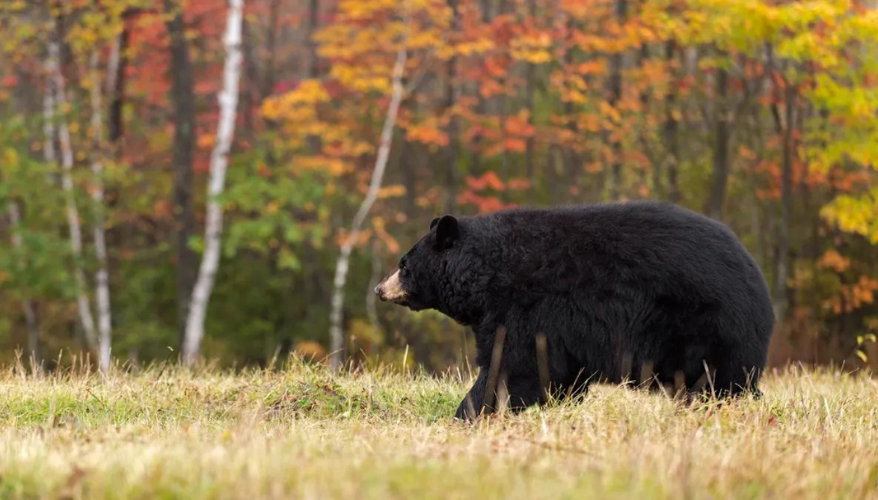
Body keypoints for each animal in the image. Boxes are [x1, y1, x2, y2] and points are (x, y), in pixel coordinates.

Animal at [375, 201, 774, 420]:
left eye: (404, 264)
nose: (380, 288)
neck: (486, 273)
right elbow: (556, 373)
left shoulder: (525, 308)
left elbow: (513, 365)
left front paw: (469, 412)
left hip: (704, 324)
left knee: (720, 378)